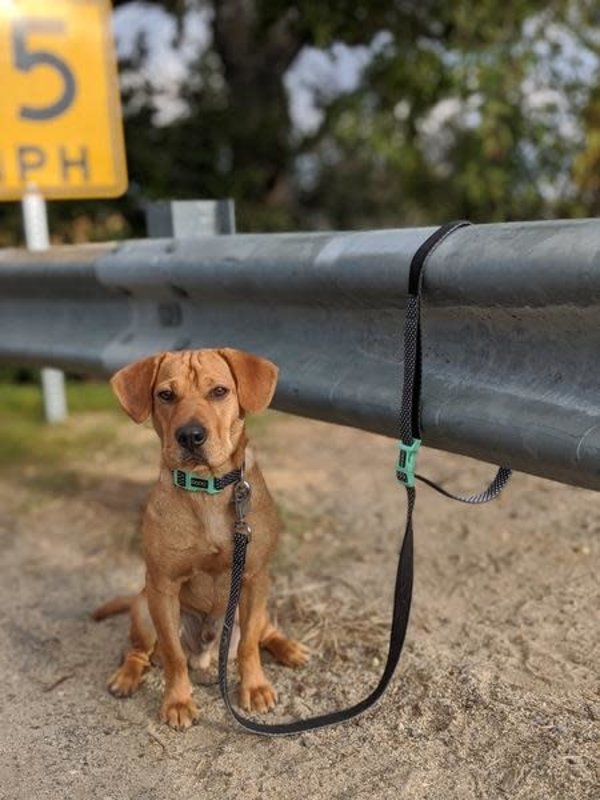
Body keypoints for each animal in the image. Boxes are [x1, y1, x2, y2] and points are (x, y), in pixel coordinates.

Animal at [95, 350, 310, 732]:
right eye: (166, 395)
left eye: (219, 391)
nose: (191, 436)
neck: (206, 487)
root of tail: (208, 653)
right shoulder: (162, 587)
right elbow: (173, 656)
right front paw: (178, 701)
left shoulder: (254, 578)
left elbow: (248, 646)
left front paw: (254, 687)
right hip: (143, 608)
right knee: (138, 651)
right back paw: (127, 676)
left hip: (259, 603)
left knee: (265, 632)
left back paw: (288, 648)